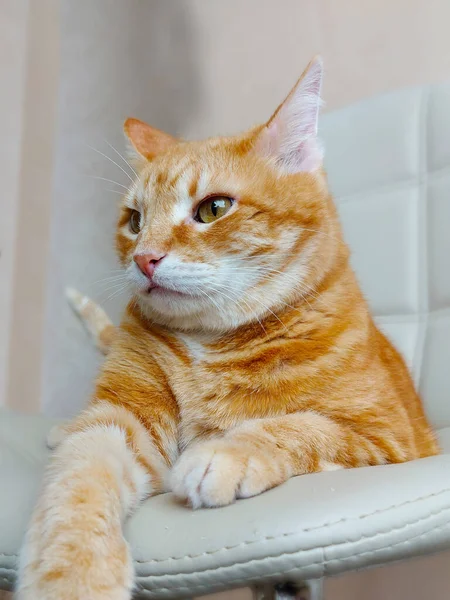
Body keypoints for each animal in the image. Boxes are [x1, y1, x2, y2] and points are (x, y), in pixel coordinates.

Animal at [19, 57, 438, 600]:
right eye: (134, 220)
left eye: (213, 209)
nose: (143, 259)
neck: (210, 345)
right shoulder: (120, 421)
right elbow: (78, 481)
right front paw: (74, 575)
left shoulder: (389, 437)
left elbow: (303, 425)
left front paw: (224, 452)